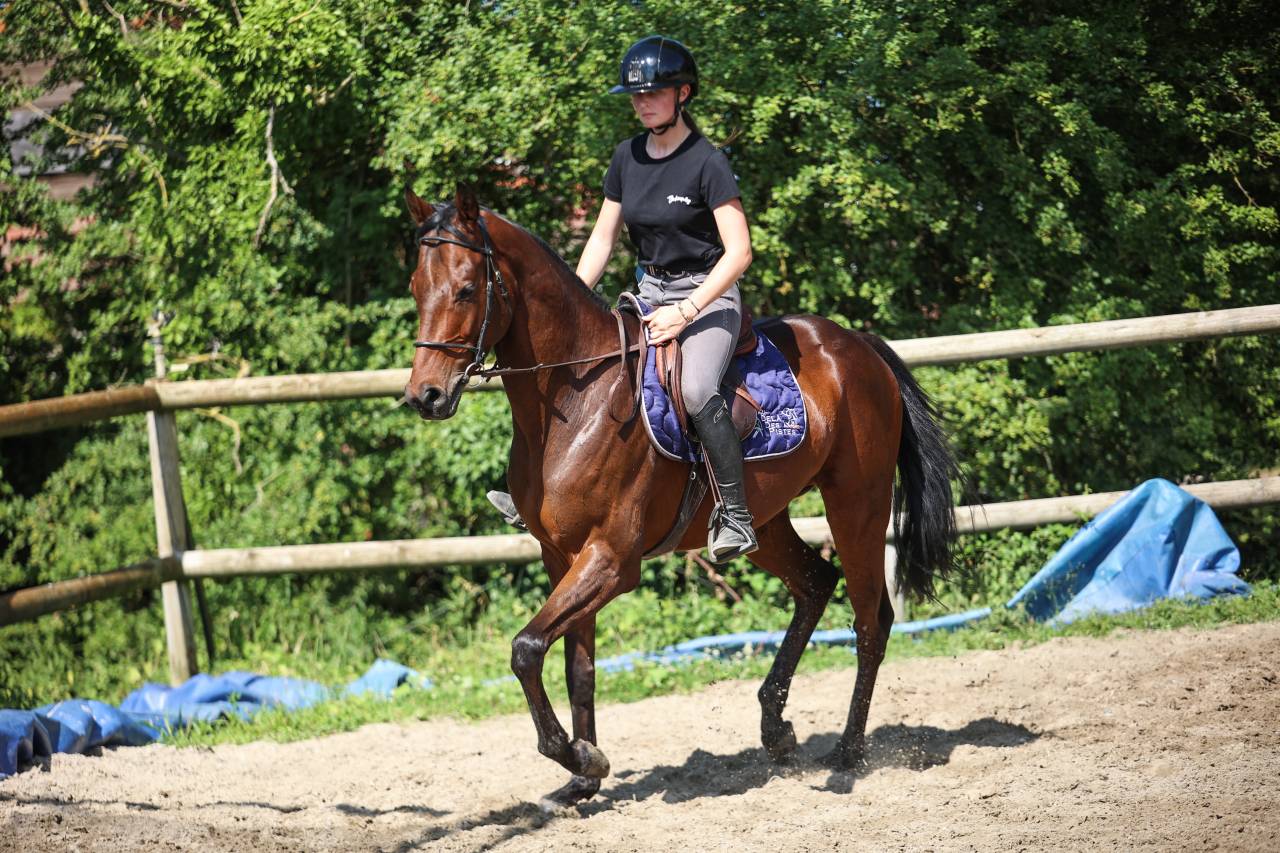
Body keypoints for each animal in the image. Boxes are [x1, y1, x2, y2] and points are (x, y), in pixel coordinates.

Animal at [403, 185, 959, 806]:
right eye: (416, 288)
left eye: (467, 290)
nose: (426, 395)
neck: (578, 401)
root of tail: (855, 343)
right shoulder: (562, 556)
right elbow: (575, 664)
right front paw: (581, 779)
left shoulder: (611, 560)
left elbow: (525, 649)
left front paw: (580, 755)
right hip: (766, 522)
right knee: (816, 583)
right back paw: (776, 728)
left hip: (857, 502)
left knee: (870, 618)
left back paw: (847, 753)